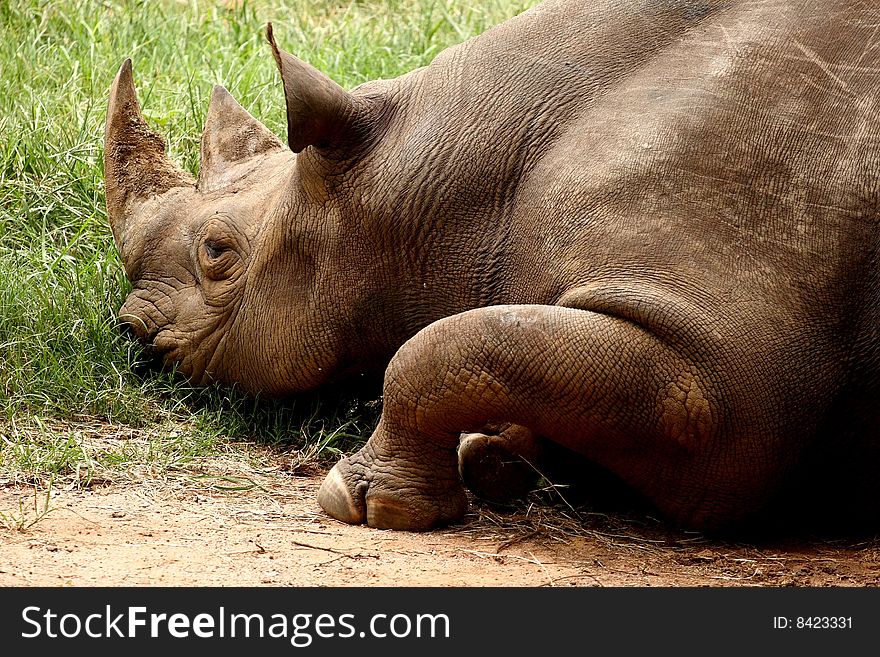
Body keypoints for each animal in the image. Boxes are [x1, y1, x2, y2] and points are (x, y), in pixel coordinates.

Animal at [105, 0, 880, 532]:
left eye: (218, 252)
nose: (131, 328)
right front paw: (499, 457)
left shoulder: (717, 376)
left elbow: (440, 348)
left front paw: (363, 501)